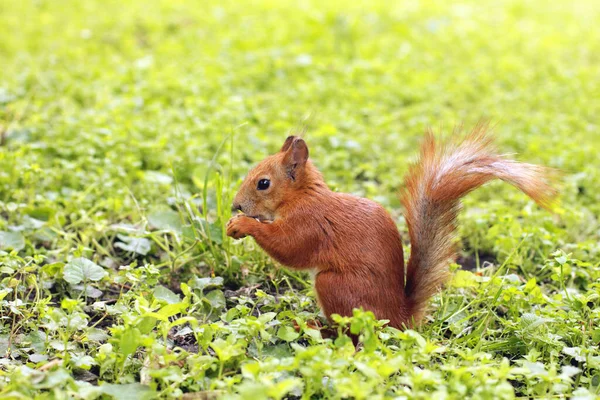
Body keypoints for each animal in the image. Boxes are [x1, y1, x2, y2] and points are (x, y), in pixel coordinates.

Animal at [226, 126, 556, 330]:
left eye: (263, 183)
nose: (236, 206)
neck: (303, 196)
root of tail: (399, 316)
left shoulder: (310, 224)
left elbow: (289, 249)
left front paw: (243, 225)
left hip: (334, 285)